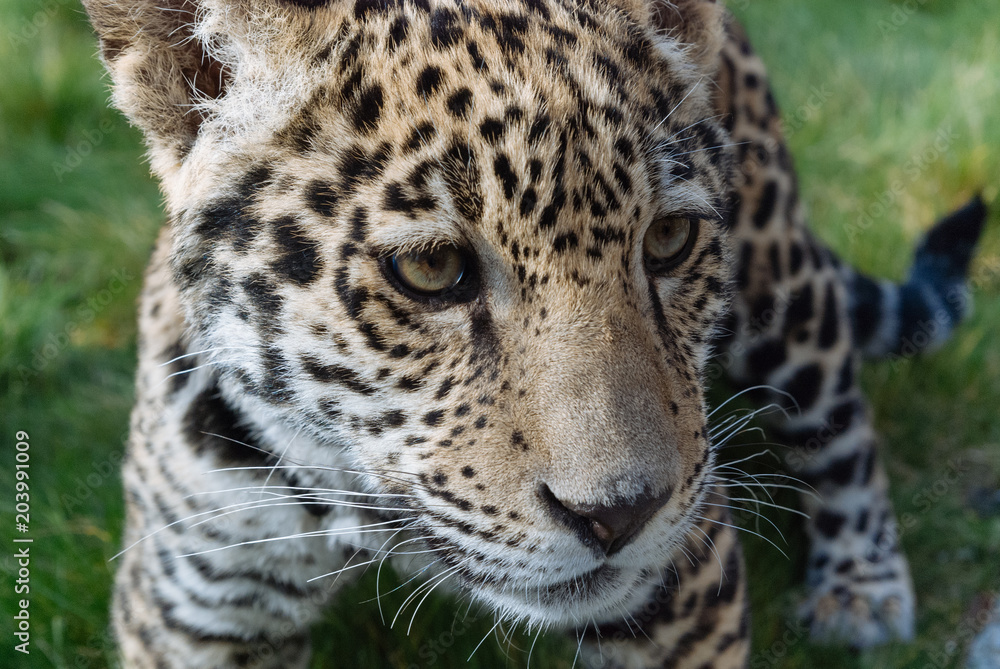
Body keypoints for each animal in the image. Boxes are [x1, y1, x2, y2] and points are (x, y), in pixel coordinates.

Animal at [82, 0, 988, 666]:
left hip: (777, 274)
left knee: (837, 408)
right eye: (432, 268)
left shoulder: (688, 593)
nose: (619, 516)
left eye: (668, 240)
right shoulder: (194, 615)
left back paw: (861, 587)